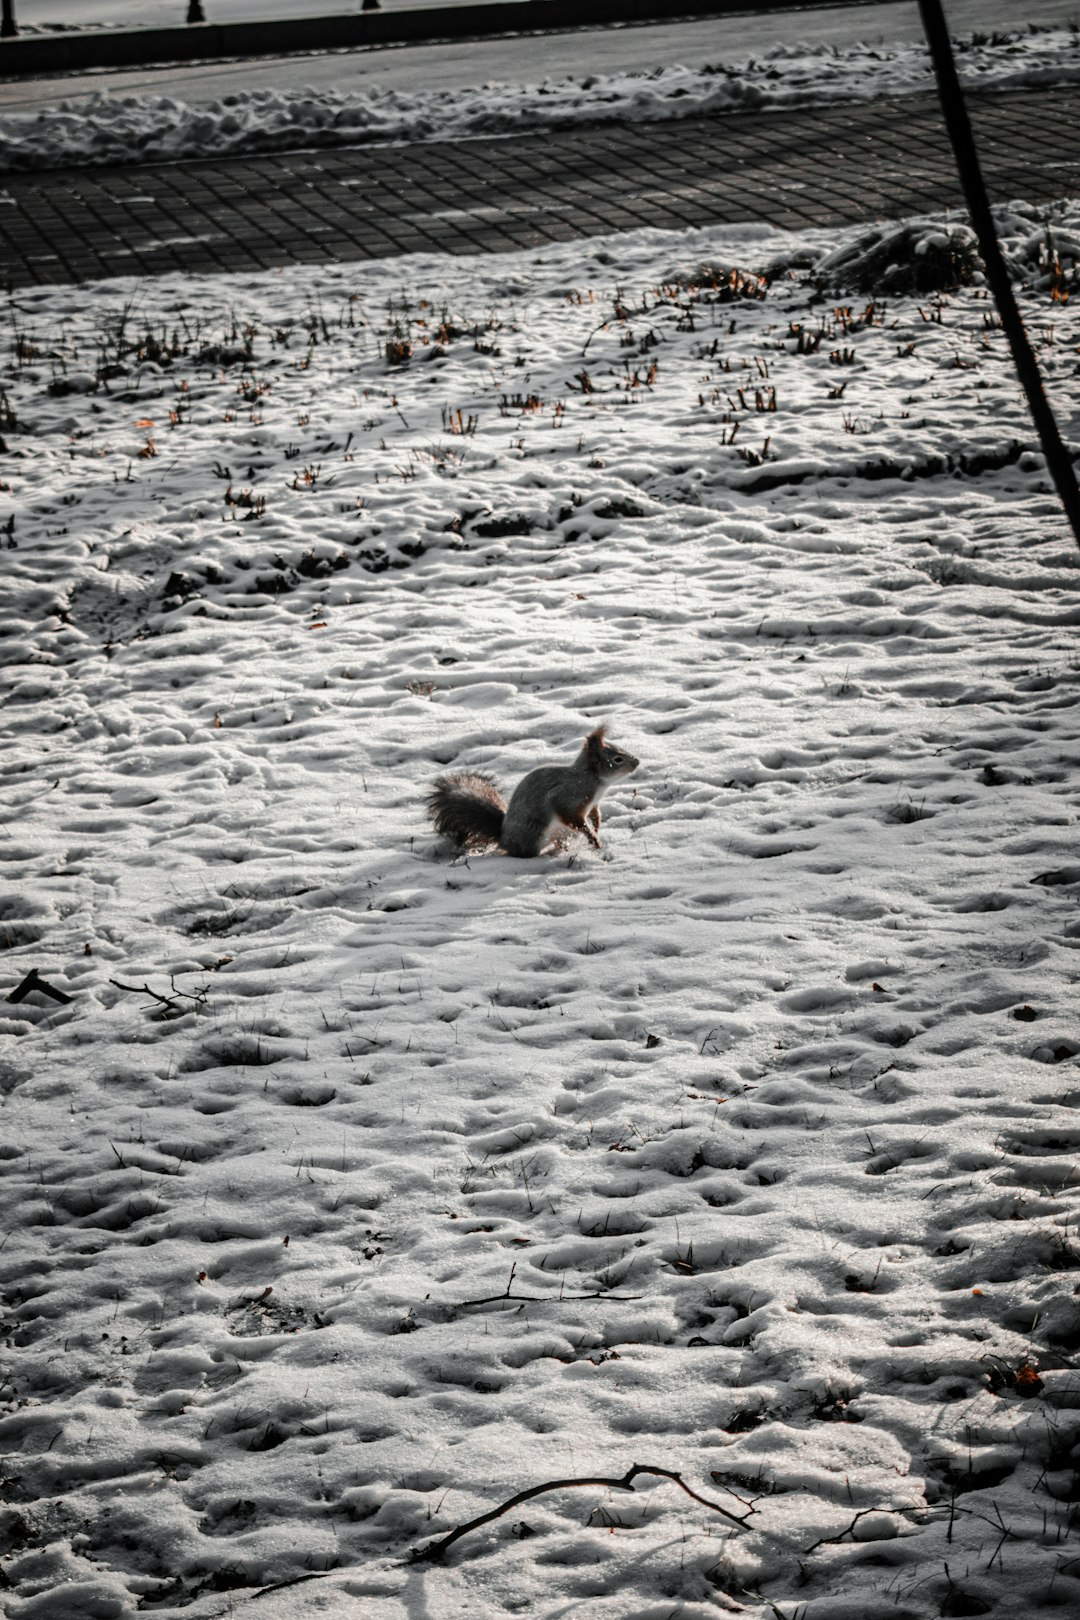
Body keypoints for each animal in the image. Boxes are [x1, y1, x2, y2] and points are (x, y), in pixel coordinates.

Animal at [424, 729, 641, 861]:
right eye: (618, 759)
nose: (637, 762)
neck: (595, 781)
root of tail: (504, 839)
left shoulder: (593, 803)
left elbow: (595, 812)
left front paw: (596, 823)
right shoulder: (568, 796)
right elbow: (570, 816)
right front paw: (592, 837)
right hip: (534, 834)